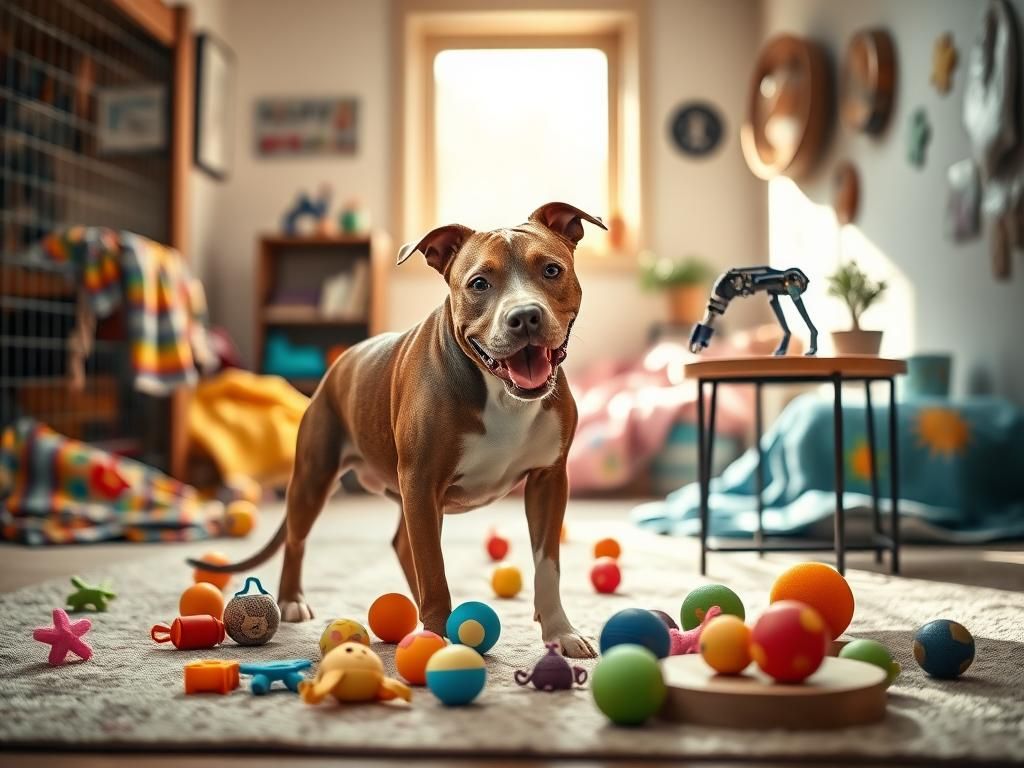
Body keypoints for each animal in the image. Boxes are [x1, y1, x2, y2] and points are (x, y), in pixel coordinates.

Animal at [191, 201, 602, 659]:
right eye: (479, 283)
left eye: (551, 270)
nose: (525, 315)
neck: (502, 393)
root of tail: (338, 365)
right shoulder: (421, 482)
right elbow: (434, 572)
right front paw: (436, 640)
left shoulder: (548, 480)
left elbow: (547, 565)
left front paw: (560, 631)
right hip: (315, 479)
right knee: (299, 539)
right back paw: (293, 600)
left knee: (405, 546)